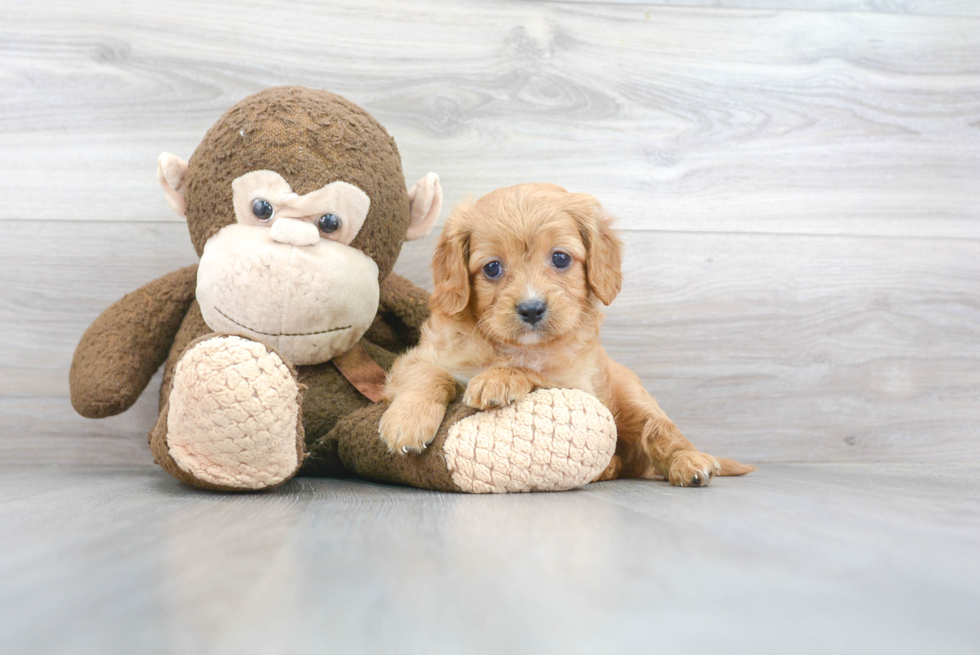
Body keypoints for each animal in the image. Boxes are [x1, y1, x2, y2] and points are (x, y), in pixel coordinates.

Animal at [378, 184, 756, 486]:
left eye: (560, 258)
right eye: (492, 268)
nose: (531, 309)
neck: (511, 347)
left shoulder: (577, 385)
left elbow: (534, 372)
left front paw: (498, 379)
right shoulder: (421, 357)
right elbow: (430, 375)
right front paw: (407, 422)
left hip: (635, 400)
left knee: (661, 434)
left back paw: (689, 462)